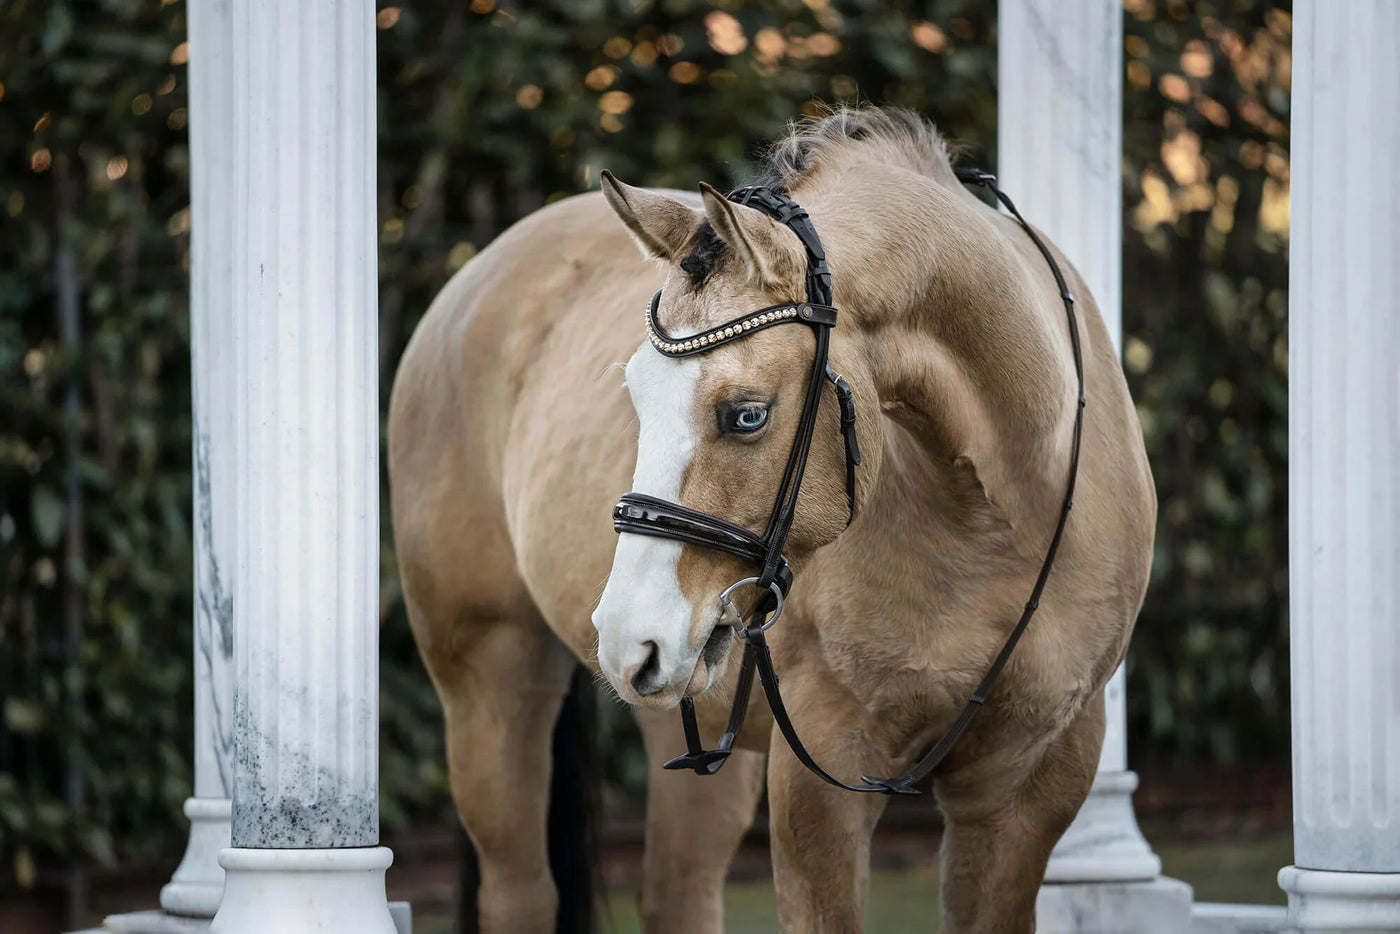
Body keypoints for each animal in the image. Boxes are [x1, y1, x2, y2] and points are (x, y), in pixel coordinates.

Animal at [388, 106, 1155, 934]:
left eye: (746, 414)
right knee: (521, 891)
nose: (626, 636)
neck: (994, 521)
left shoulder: (1027, 788)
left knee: (677, 890)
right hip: (491, 676)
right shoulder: (822, 779)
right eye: (635, 394)